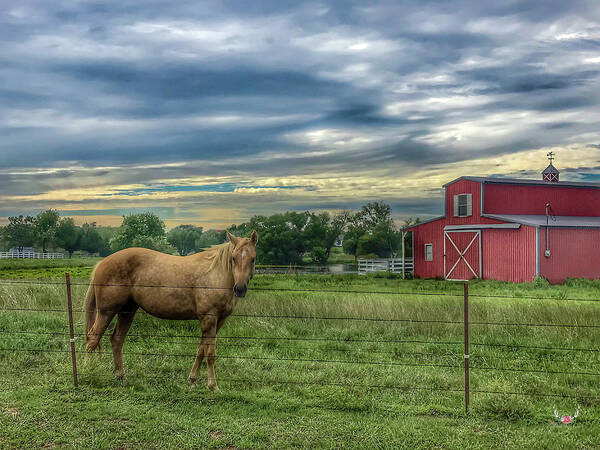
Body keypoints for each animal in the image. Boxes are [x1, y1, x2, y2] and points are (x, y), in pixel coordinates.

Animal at [83, 230, 256, 392]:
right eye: (233, 258)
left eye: (252, 259)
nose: (240, 289)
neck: (215, 275)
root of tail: (102, 263)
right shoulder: (209, 318)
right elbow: (210, 353)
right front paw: (213, 386)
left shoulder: (218, 321)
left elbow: (201, 349)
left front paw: (193, 380)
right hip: (106, 312)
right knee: (93, 338)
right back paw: (88, 372)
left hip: (127, 312)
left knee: (117, 340)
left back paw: (121, 376)